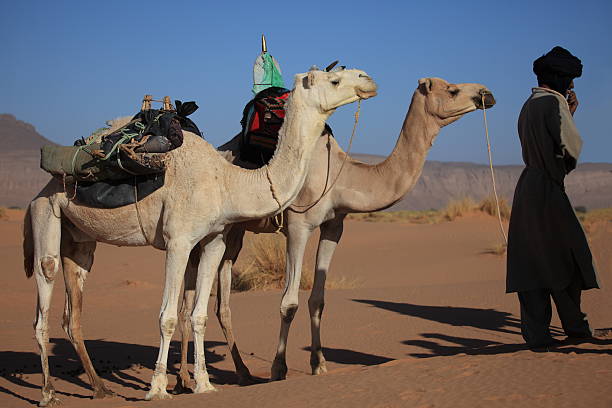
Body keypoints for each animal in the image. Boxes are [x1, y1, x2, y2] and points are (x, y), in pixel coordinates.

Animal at [22, 67, 378, 404]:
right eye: (334, 79)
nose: (368, 81)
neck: (227, 182)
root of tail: (39, 190)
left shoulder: (214, 241)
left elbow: (200, 315)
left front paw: (204, 385)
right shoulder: (178, 241)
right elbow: (167, 316)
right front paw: (157, 389)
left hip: (80, 239)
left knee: (72, 311)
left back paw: (100, 389)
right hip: (46, 213)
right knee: (44, 290)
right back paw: (48, 394)